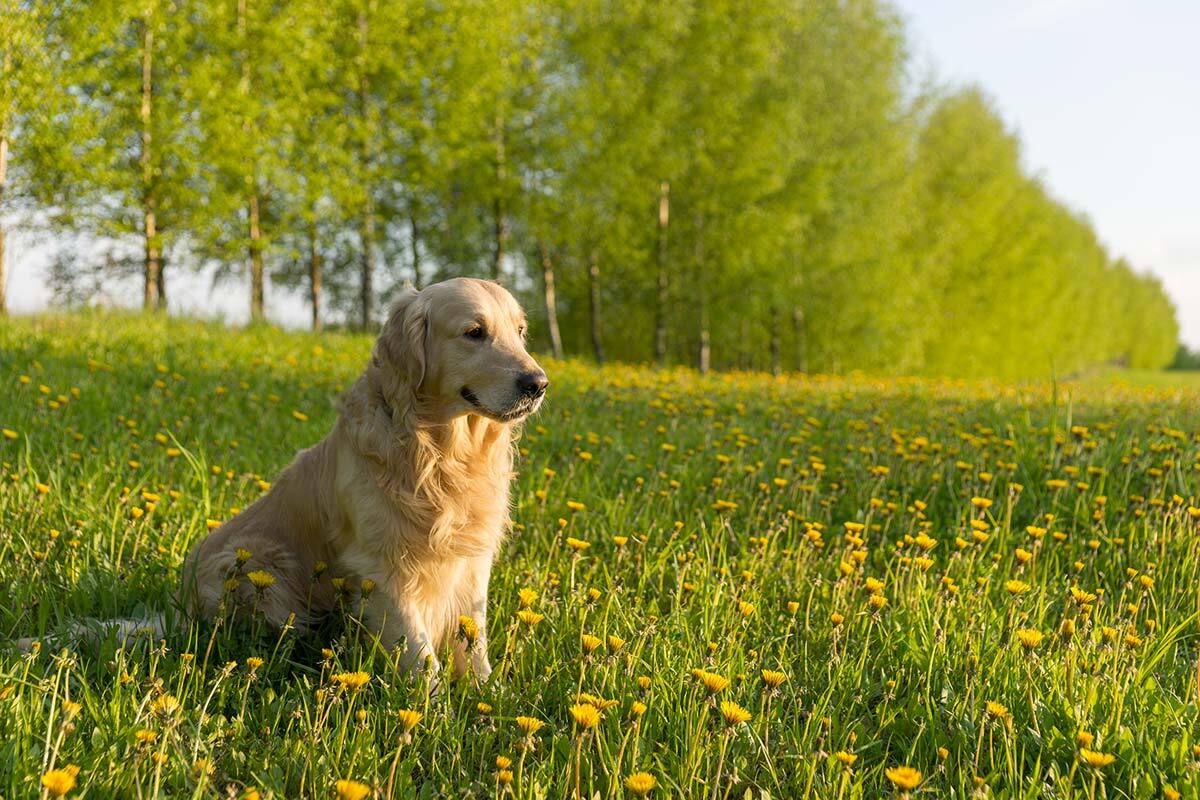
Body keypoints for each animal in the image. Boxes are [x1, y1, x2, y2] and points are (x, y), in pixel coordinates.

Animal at [12, 280, 549, 681]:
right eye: (475, 332)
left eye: (520, 331)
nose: (538, 383)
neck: (441, 452)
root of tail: (181, 609)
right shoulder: (382, 565)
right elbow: (419, 654)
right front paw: (435, 711)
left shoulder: (471, 563)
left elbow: (473, 642)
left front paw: (485, 696)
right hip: (256, 564)